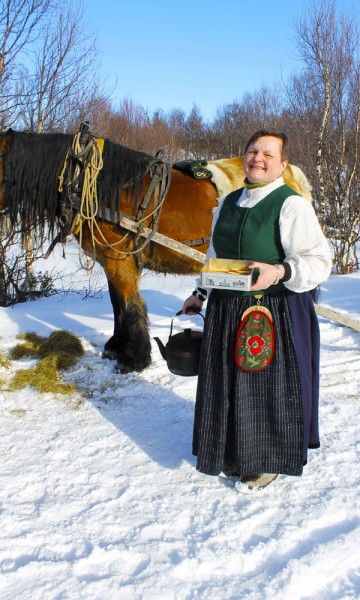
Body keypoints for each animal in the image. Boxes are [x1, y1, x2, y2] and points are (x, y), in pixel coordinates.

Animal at [0, 125, 312, 372]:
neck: (99, 187)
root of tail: (292, 173)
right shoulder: (111, 262)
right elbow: (116, 305)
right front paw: (115, 347)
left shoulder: (120, 262)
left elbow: (130, 307)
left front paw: (133, 359)